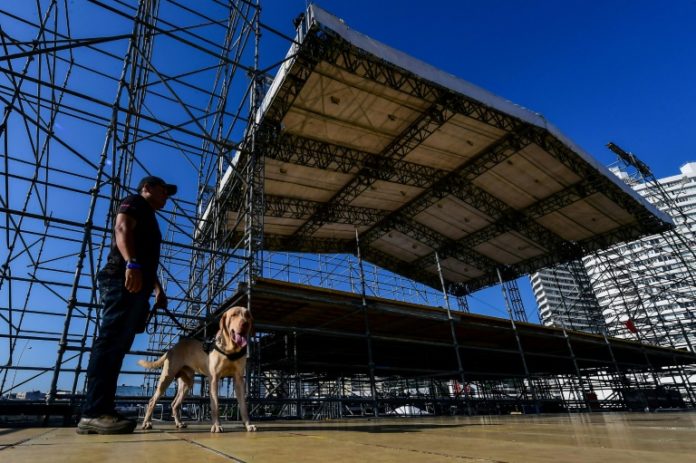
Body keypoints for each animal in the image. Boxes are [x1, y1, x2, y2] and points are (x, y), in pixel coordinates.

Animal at [137, 306, 256, 434]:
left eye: (248, 315)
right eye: (234, 315)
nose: (245, 323)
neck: (230, 350)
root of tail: (172, 348)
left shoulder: (239, 379)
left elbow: (243, 406)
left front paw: (248, 425)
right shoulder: (214, 379)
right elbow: (215, 405)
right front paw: (216, 425)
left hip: (187, 383)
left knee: (174, 404)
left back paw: (179, 423)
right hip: (167, 377)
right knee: (152, 401)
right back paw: (147, 423)